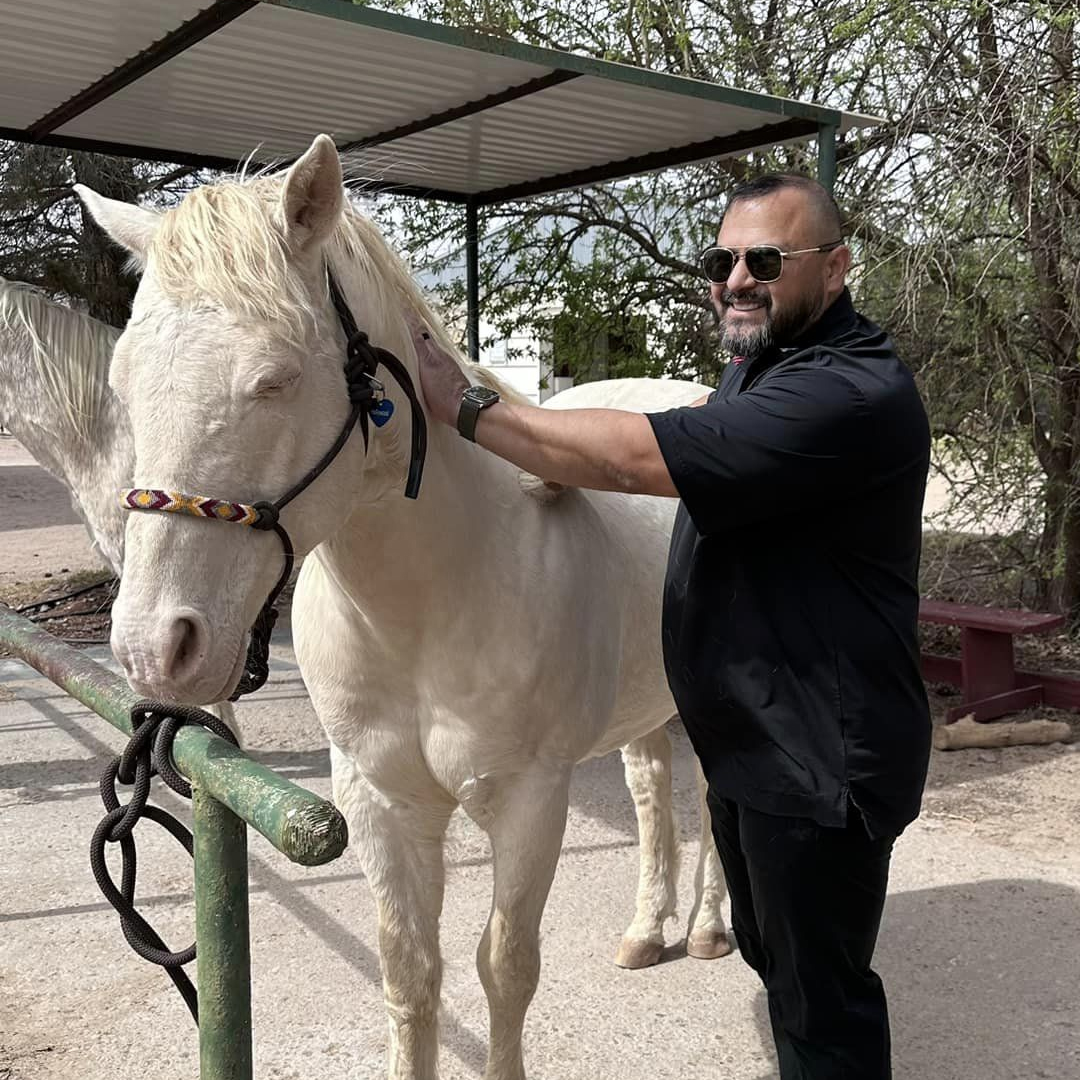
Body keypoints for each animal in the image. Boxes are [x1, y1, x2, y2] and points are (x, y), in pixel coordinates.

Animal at [79, 137, 730, 1080]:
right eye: (124, 383)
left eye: (274, 379)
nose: (155, 648)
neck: (431, 605)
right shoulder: (378, 797)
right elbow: (410, 972)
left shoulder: (531, 802)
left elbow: (505, 968)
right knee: (650, 788)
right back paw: (648, 931)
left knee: (711, 800)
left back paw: (710, 929)